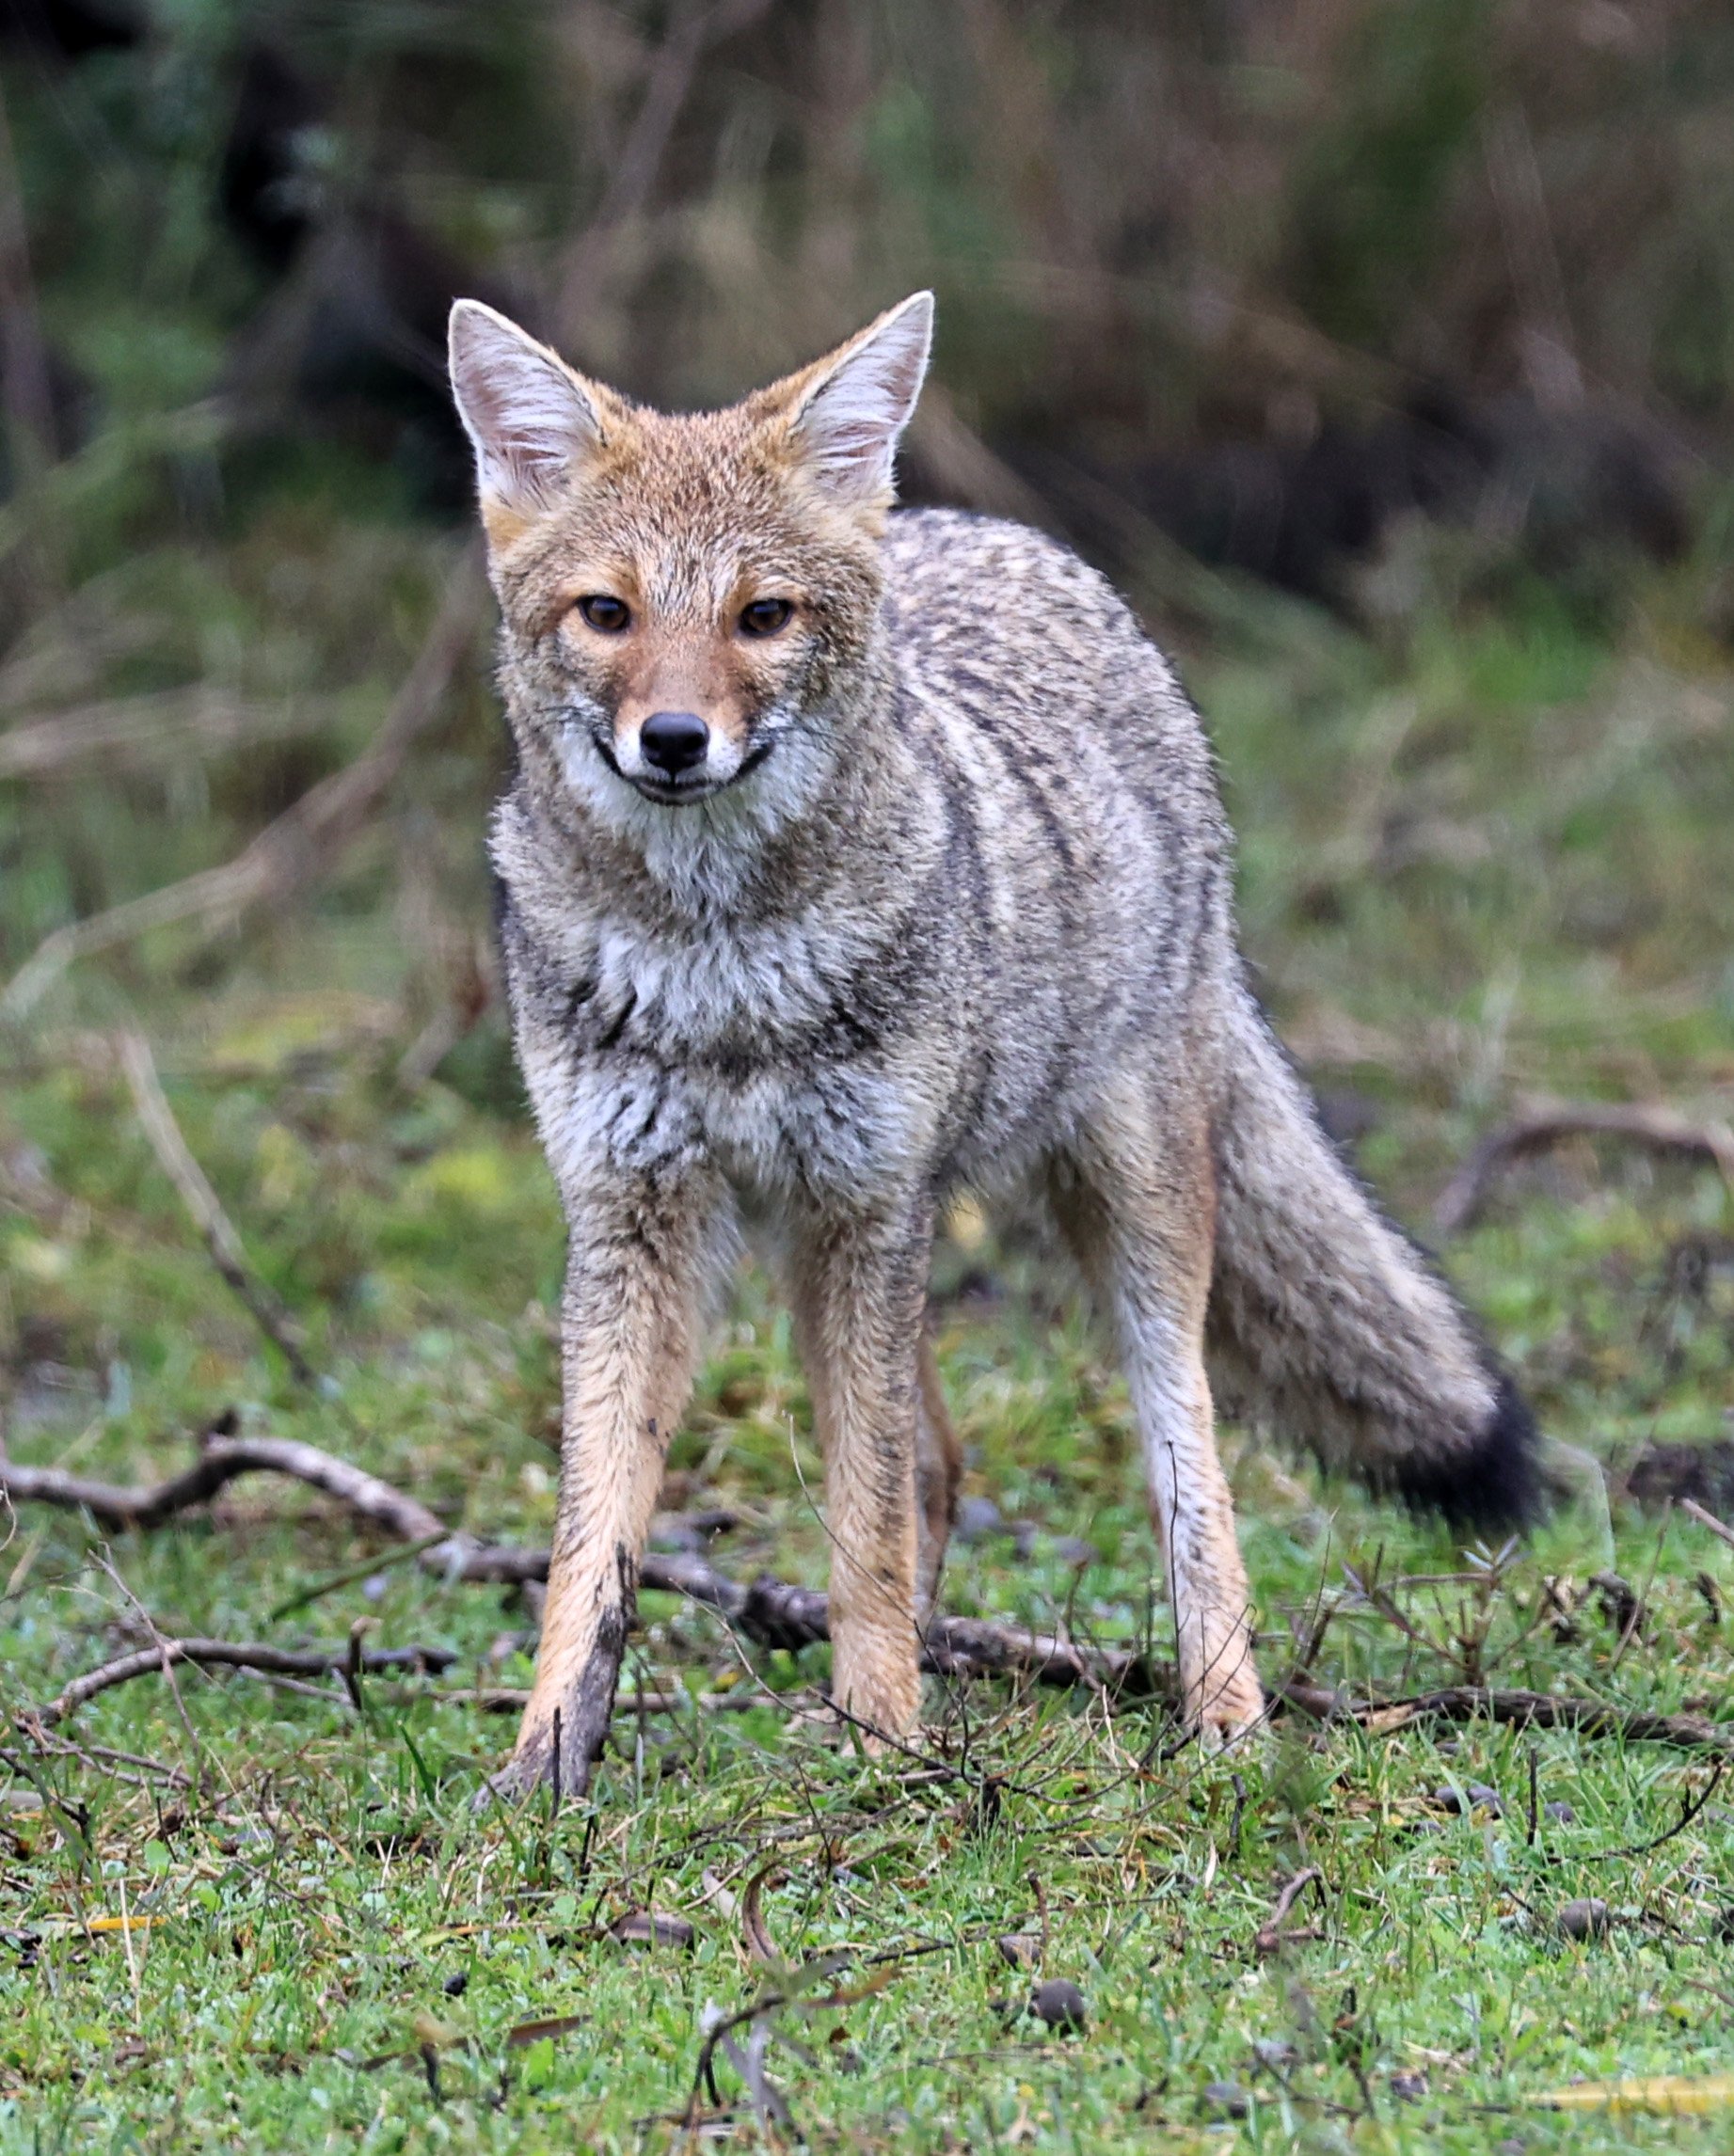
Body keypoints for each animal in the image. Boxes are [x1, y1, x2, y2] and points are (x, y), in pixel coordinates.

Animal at [446, 288, 1539, 1803]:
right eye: (607, 615)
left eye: (760, 617)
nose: (671, 740)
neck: (718, 971)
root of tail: (1000, 535)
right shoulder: (634, 1219)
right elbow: (591, 1536)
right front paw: (546, 1763)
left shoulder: (867, 1209)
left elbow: (863, 1526)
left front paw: (891, 1750)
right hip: (831, 1246)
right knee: (942, 1466)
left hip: (1108, 1219)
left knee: (1181, 1467)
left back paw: (1223, 1719)